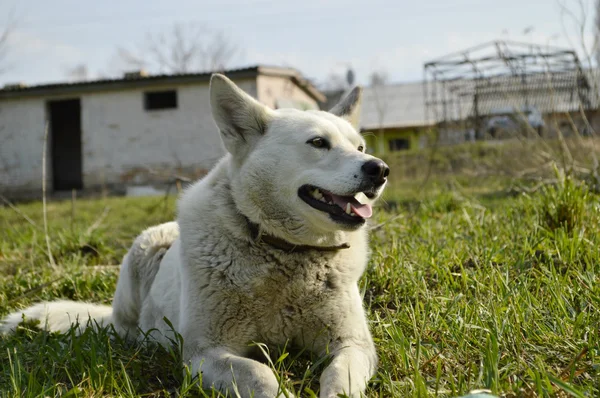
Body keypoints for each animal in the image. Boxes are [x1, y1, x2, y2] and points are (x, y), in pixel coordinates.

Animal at [1, 74, 390, 398]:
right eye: (318, 142)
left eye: (359, 148)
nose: (380, 169)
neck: (285, 252)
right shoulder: (204, 352)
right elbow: (259, 373)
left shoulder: (353, 344)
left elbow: (339, 376)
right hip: (145, 252)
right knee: (131, 330)